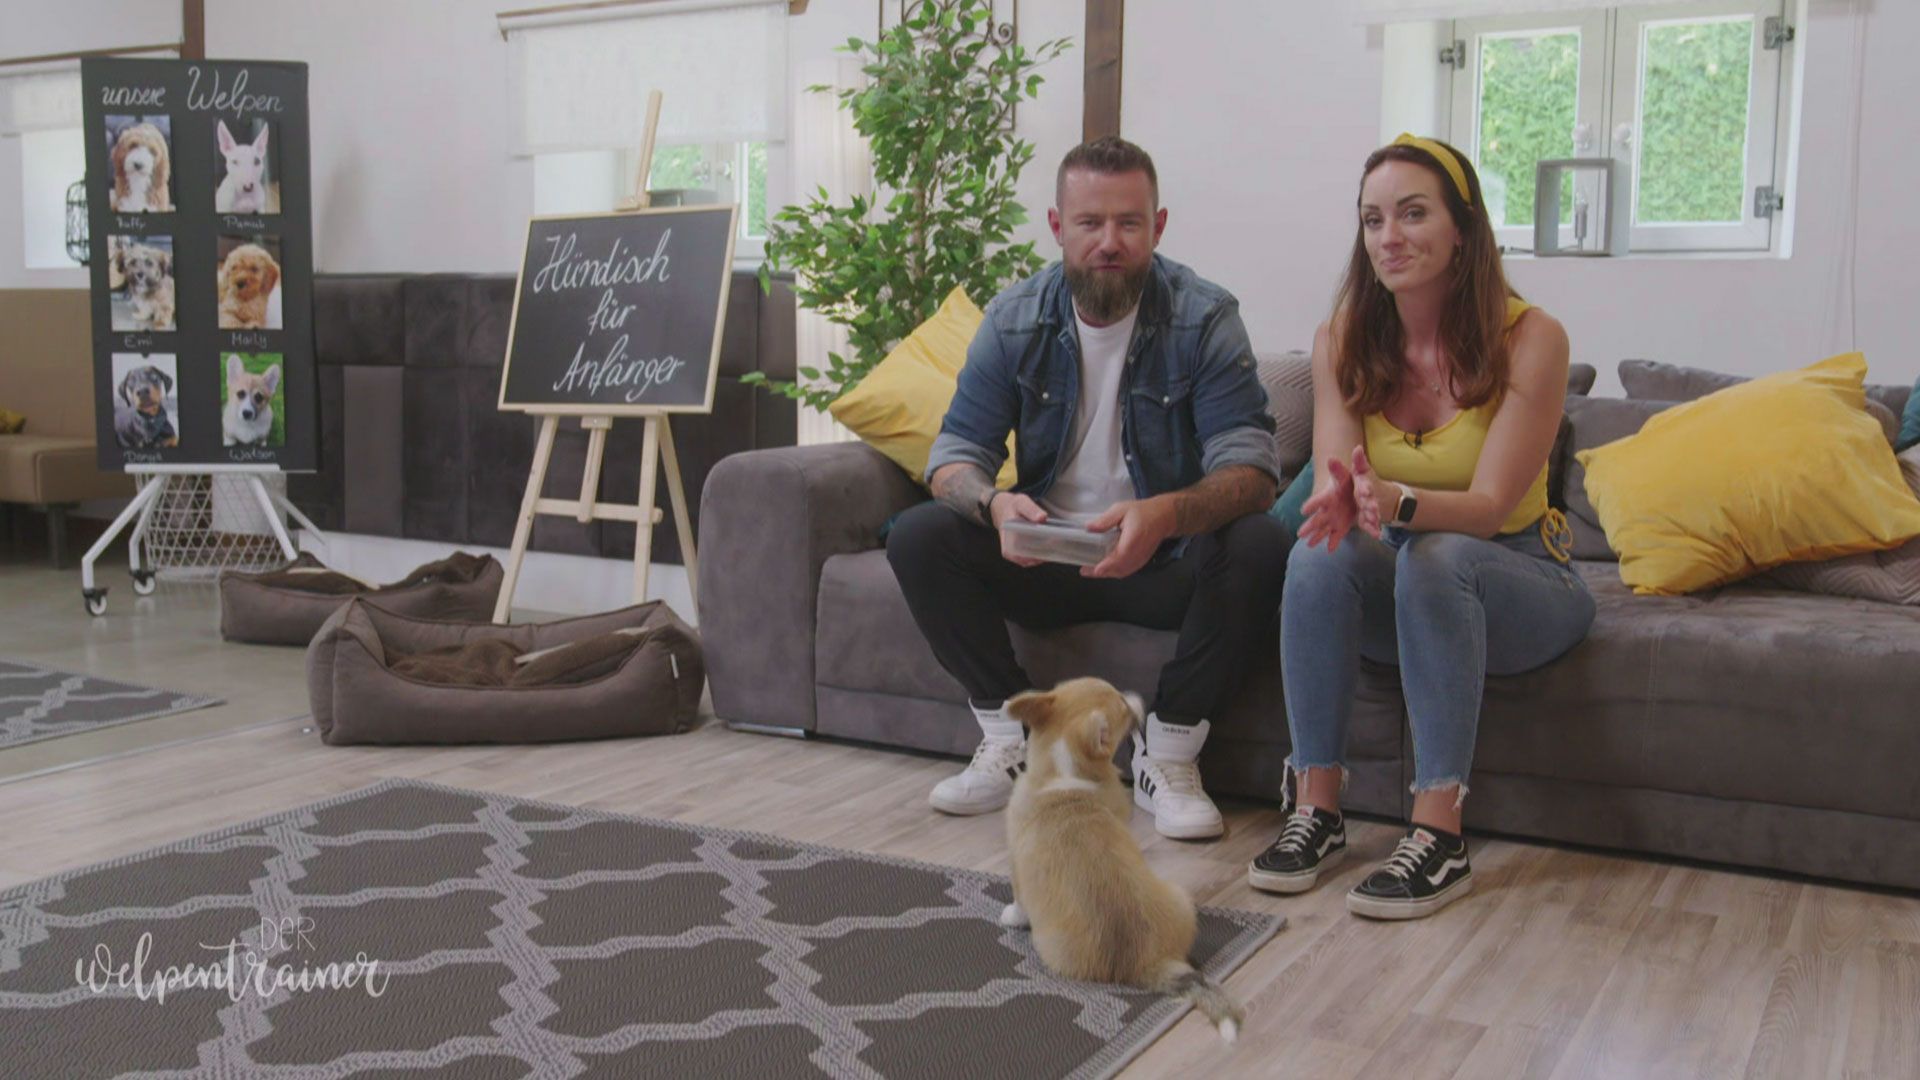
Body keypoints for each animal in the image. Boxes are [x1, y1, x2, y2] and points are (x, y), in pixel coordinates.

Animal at [1002, 678, 1247, 1041]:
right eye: (1122, 705)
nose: (1137, 697)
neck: (1063, 775)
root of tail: (1147, 963)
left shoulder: (1017, 866)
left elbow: (1018, 902)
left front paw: (1010, 916)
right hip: (1180, 898)